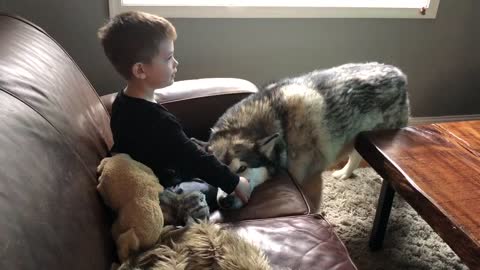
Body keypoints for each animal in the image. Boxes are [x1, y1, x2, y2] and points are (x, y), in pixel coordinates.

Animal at [206, 62, 408, 209]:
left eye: (242, 168)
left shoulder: (306, 179)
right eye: (218, 168)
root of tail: (398, 72)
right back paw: (344, 173)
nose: (224, 201)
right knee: (356, 156)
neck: (279, 121)